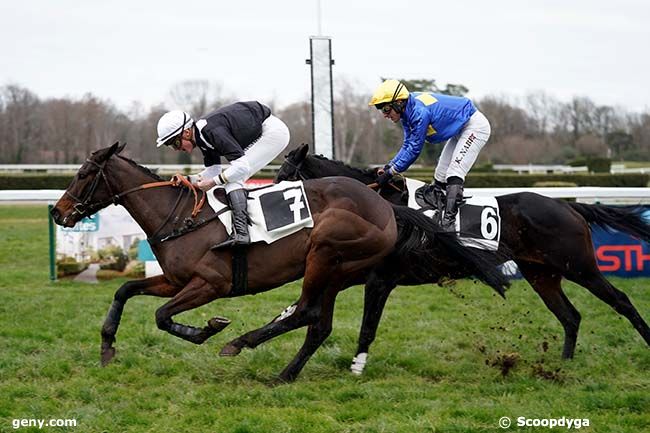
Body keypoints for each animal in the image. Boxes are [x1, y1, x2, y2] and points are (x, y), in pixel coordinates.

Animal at [50, 143, 506, 382]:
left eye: (84, 173)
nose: (58, 212)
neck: (179, 217)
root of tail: (386, 206)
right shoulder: (176, 280)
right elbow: (124, 289)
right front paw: (107, 346)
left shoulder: (210, 284)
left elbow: (163, 317)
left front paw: (209, 329)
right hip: (339, 272)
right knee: (318, 322)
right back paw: (286, 372)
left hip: (325, 253)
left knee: (306, 311)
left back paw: (241, 343)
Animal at [274, 144, 648, 372]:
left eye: (285, 179)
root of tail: (568, 206)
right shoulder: (355, 272)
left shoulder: (381, 279)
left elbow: (368, 326)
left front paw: (357, 367)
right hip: (541, 273)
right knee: (570, 316)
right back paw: (563, 364)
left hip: (580, 266)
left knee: (621, 300)